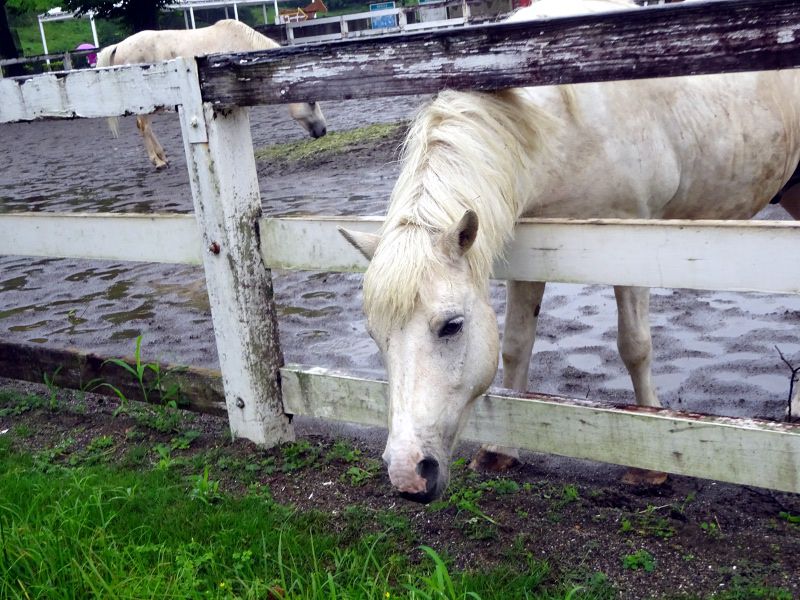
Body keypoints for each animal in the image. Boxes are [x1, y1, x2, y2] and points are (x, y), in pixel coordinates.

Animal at [95, 20, 326, 170]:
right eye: (312, 101)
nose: (323, 130)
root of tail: (119, 46)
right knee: (143, 126)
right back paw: (158, 162)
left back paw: (163, 157)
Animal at [340, 0, 800, 502]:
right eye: (375, 336)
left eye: (451, 326)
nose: (408, 474)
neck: (553, 125)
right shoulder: (531, 251)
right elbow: (516, 345)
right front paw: (500, 450)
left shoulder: (631, 243)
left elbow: (635, 346)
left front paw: (650, 466)